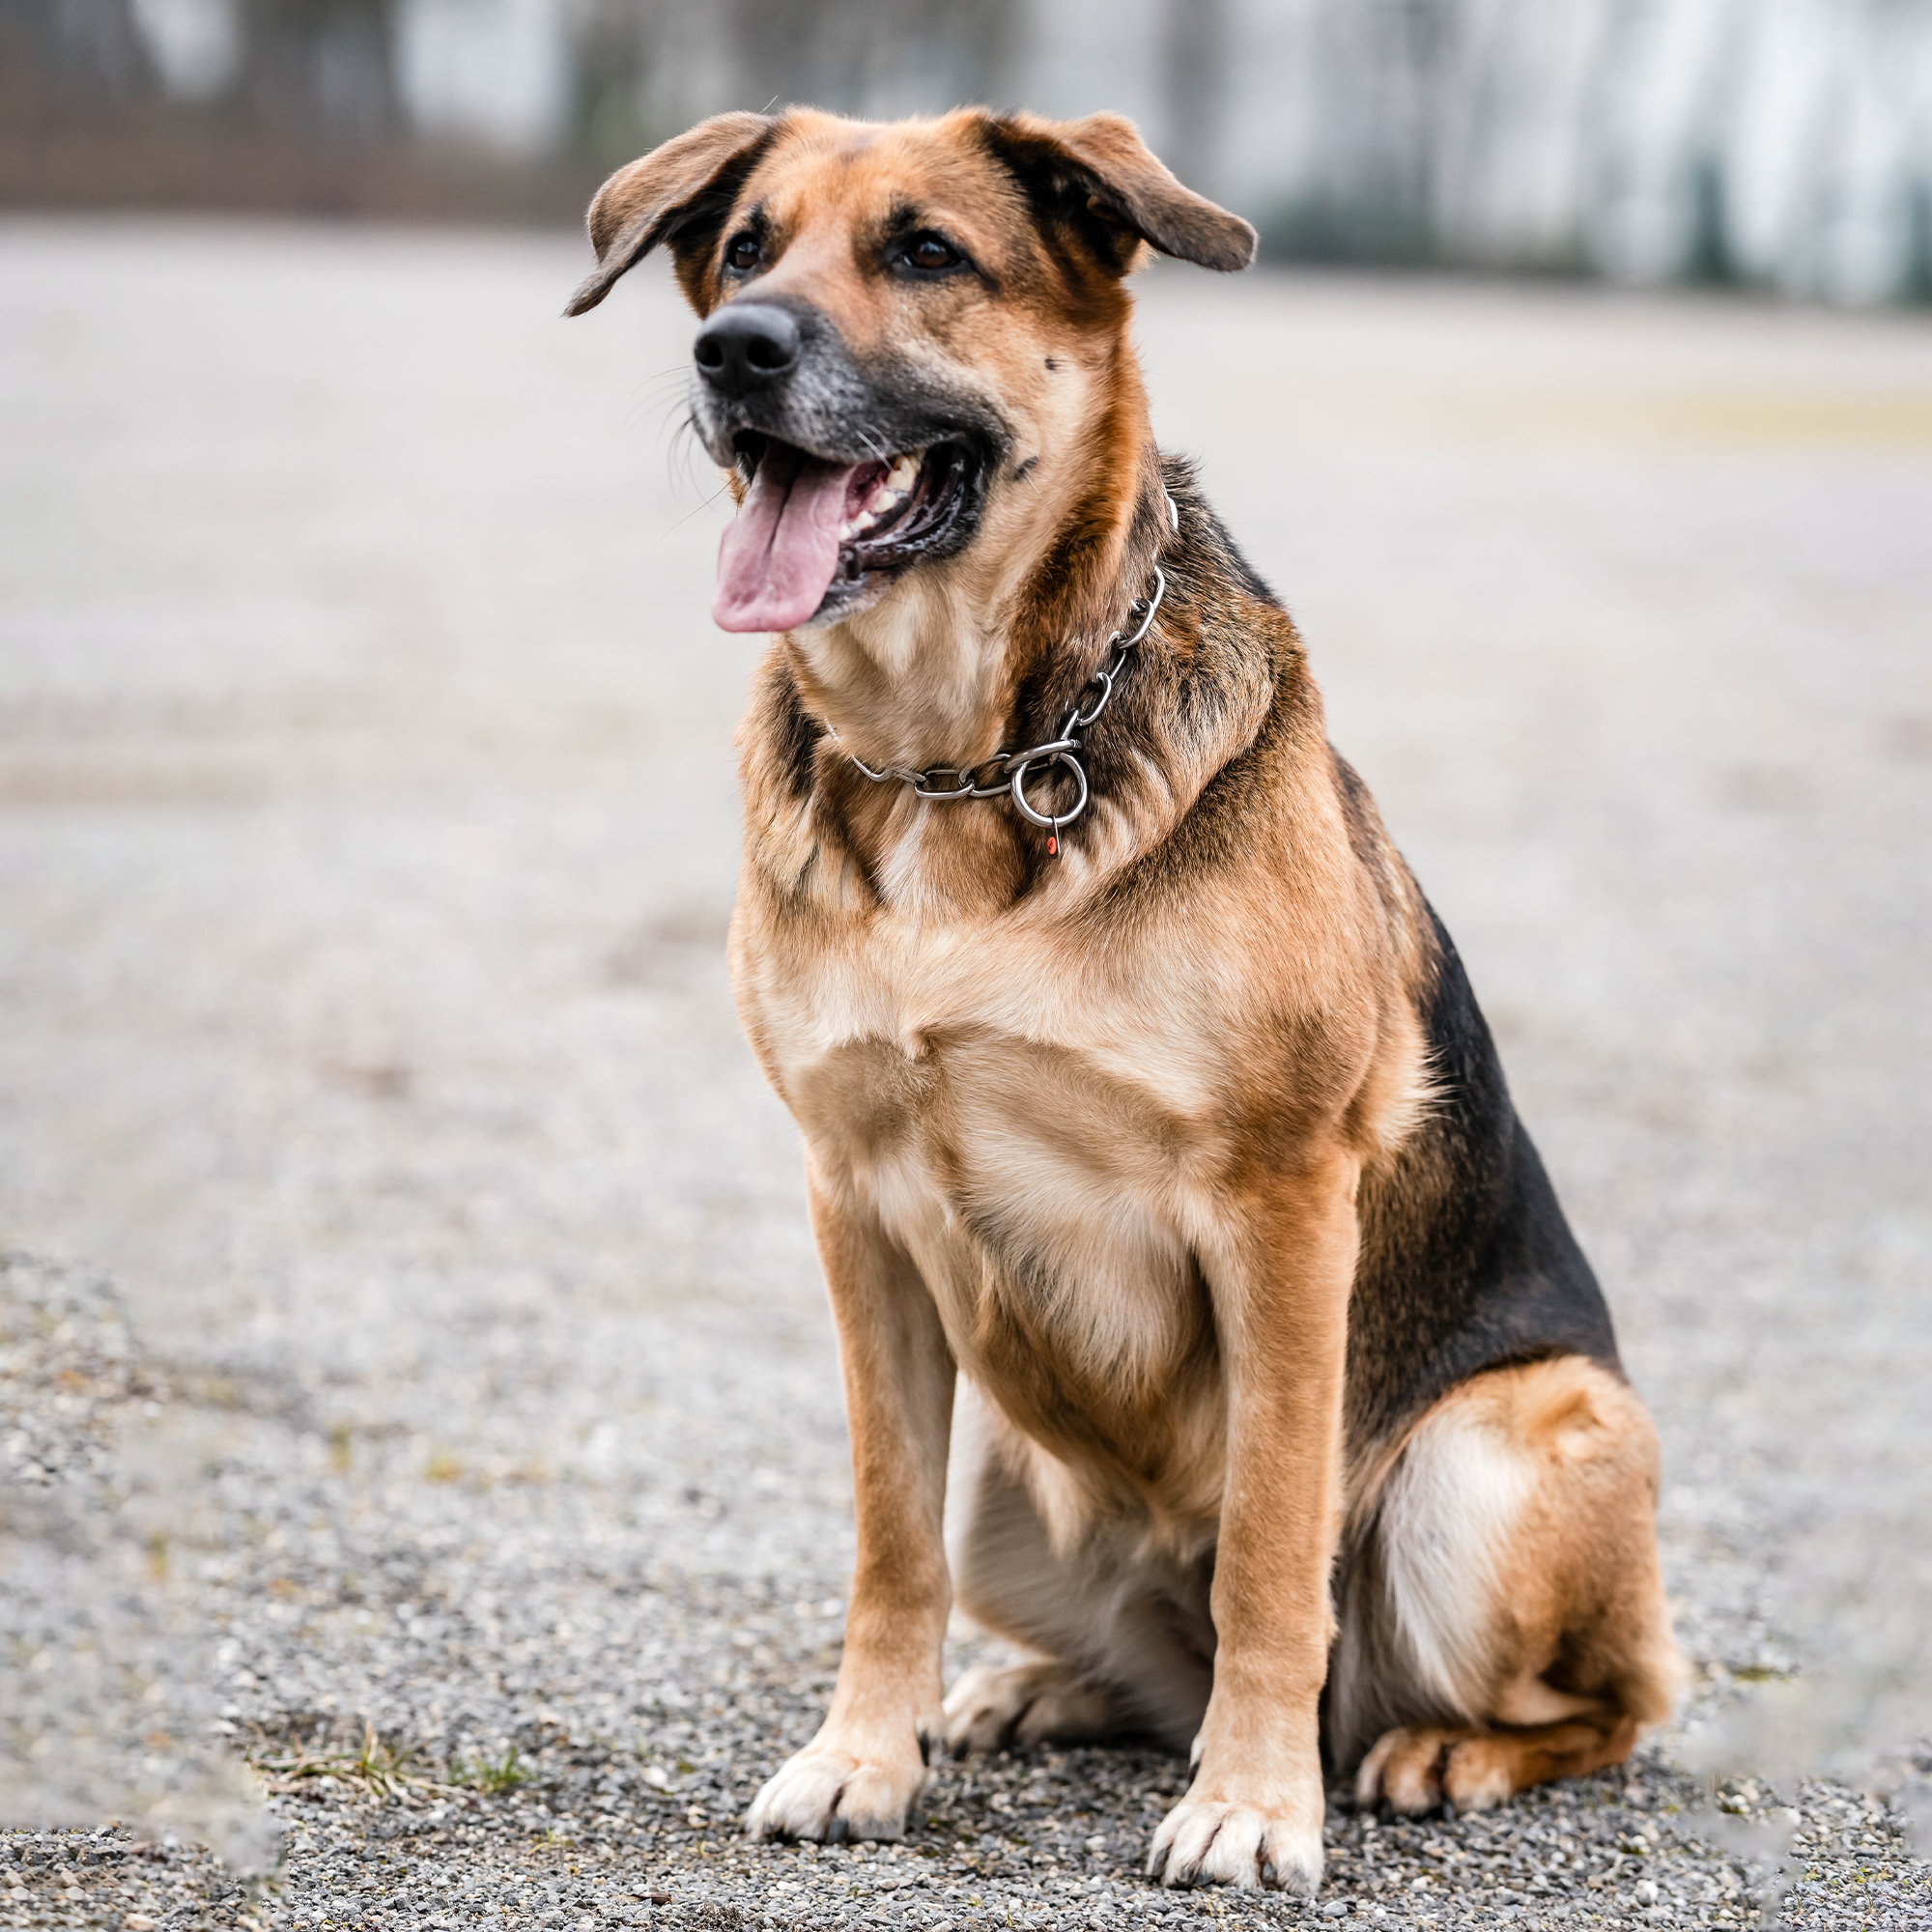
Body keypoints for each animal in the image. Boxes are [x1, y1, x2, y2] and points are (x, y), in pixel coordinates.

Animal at [564, 109, 1685, 1901]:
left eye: (927, 253)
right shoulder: (855, 1209)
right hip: (1009, 1497)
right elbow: (883, 1538)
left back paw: (1432, 1751)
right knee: (1126, 1655)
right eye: (745, 248)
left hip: (1499, 1455)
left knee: (1604, 1699)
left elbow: (1275, 1550)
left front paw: (1253, 1804)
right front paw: (863, 1756)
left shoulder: (1282, 1206)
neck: (967, 757)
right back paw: (1028, 1690)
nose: (733, 351)